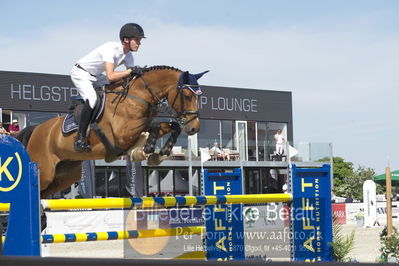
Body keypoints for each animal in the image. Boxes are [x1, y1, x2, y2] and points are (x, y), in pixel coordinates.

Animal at [17, 65, 208, 196]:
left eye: (199, 97)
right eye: (187, 96)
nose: (194, 127)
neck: (137, 96)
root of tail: (36, 129)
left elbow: (171, 126)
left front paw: (160, 153)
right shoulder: (122, 134)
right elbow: (154, 124)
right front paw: (147, 149)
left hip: (65, 175)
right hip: (45, 172)